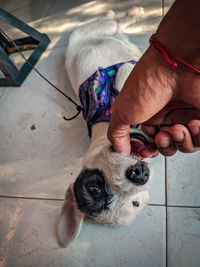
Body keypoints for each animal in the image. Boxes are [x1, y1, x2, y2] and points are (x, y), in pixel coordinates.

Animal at [57, 15, 152, 248]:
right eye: (135, 203)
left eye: (94, 188)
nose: (139, 174)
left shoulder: (121, 78)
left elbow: (129, 75)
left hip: (95, 29)